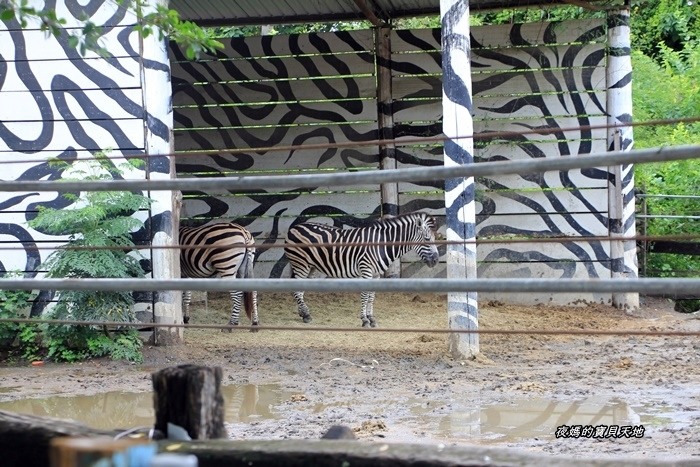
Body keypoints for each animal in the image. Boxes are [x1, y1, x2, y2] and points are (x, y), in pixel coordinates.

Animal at [284, 213, 438, 328]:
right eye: (427, 238)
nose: (436, 260)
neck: (381, 244)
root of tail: (295, 227)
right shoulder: (366, 269)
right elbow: (365, 295)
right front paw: (364, 320)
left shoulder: (376, 274)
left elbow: (371, 296)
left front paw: (371, 318)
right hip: (301, 264)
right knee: (296, 290)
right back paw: (306, 315)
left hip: (311, 267)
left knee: (299, 289)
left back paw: (303, 314)